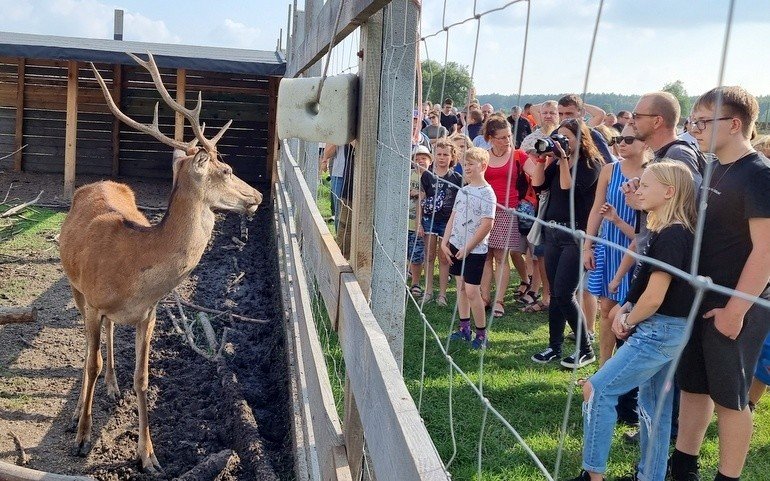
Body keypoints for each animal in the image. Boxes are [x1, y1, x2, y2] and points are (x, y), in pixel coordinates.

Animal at [57, 52, 264, 472]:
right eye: (226, 170)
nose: (259, 195)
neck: (134, 269)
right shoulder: (94, 302)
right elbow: (90, 363)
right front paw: (82, 437)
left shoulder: (149, 313)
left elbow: (143, 378)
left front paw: (149, 454)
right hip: (75, 287)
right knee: (91, 347)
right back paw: (79, 412)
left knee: (110, 334)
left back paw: (113, 387)